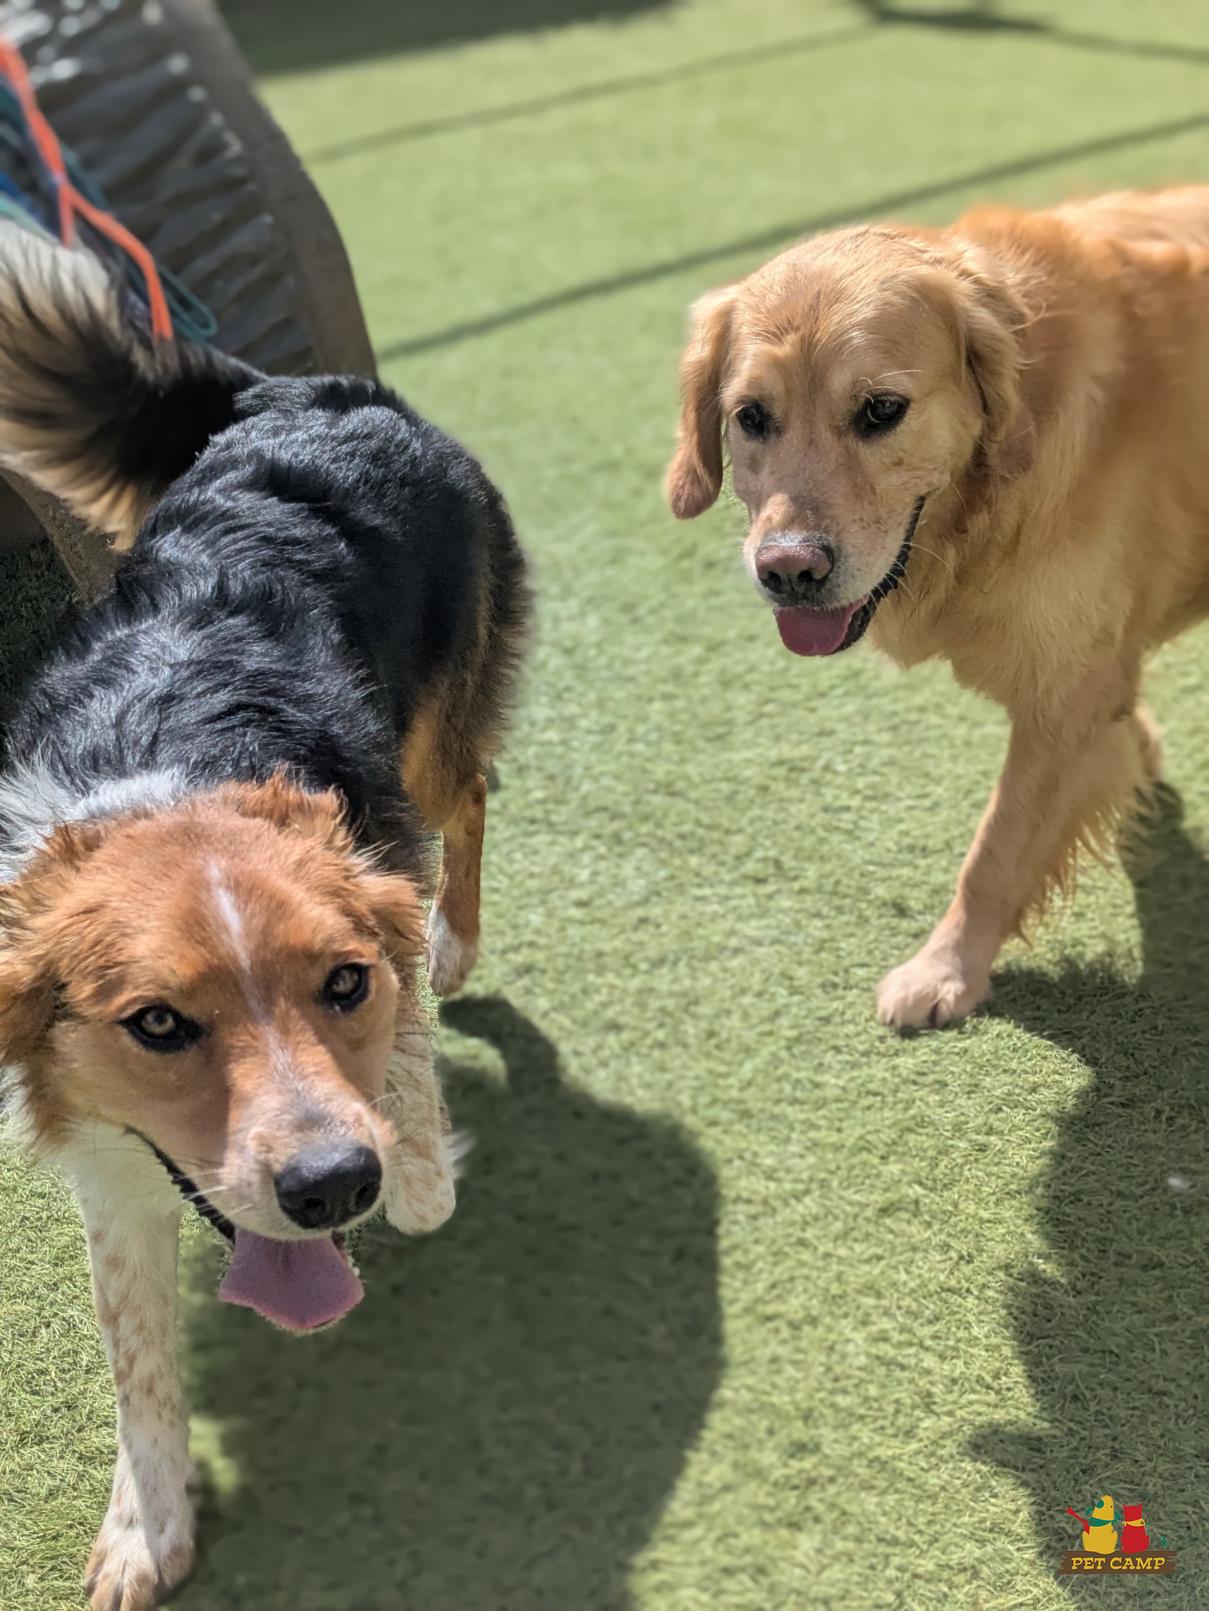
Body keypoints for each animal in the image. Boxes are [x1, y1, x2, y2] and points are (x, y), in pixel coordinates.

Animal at [0, 231, 528, 1609]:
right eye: (155, 1025)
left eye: (344, 985)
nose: (331, 1185)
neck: (164, 774)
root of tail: (303, 388)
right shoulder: (114, 1166)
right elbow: (134, 1357)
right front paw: (149, 1522)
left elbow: (418, 1157)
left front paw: (415, 1168)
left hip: (436, 731)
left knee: (475, 792)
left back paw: (455, 941)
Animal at [666, 185, 1209, 1028]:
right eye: (751, 416)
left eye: (880, 409)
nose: (788, 569)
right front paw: (1141, 747)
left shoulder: (1061, 700)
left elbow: (993, 853)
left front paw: (945, 970)